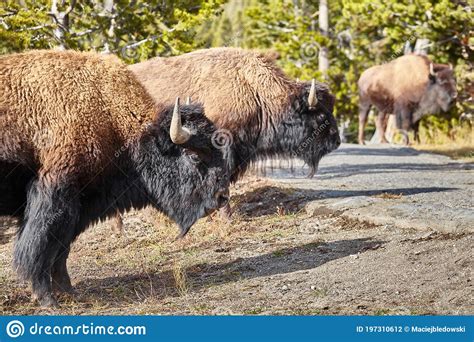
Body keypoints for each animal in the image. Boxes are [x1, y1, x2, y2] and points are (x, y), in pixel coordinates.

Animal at [0, 49, 230, 306]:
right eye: (193, 155)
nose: (222, 196)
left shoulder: (79, 207)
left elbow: (61, 252)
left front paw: (69, 292)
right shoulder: (54, 200)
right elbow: (40, 248)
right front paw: (48, 299)